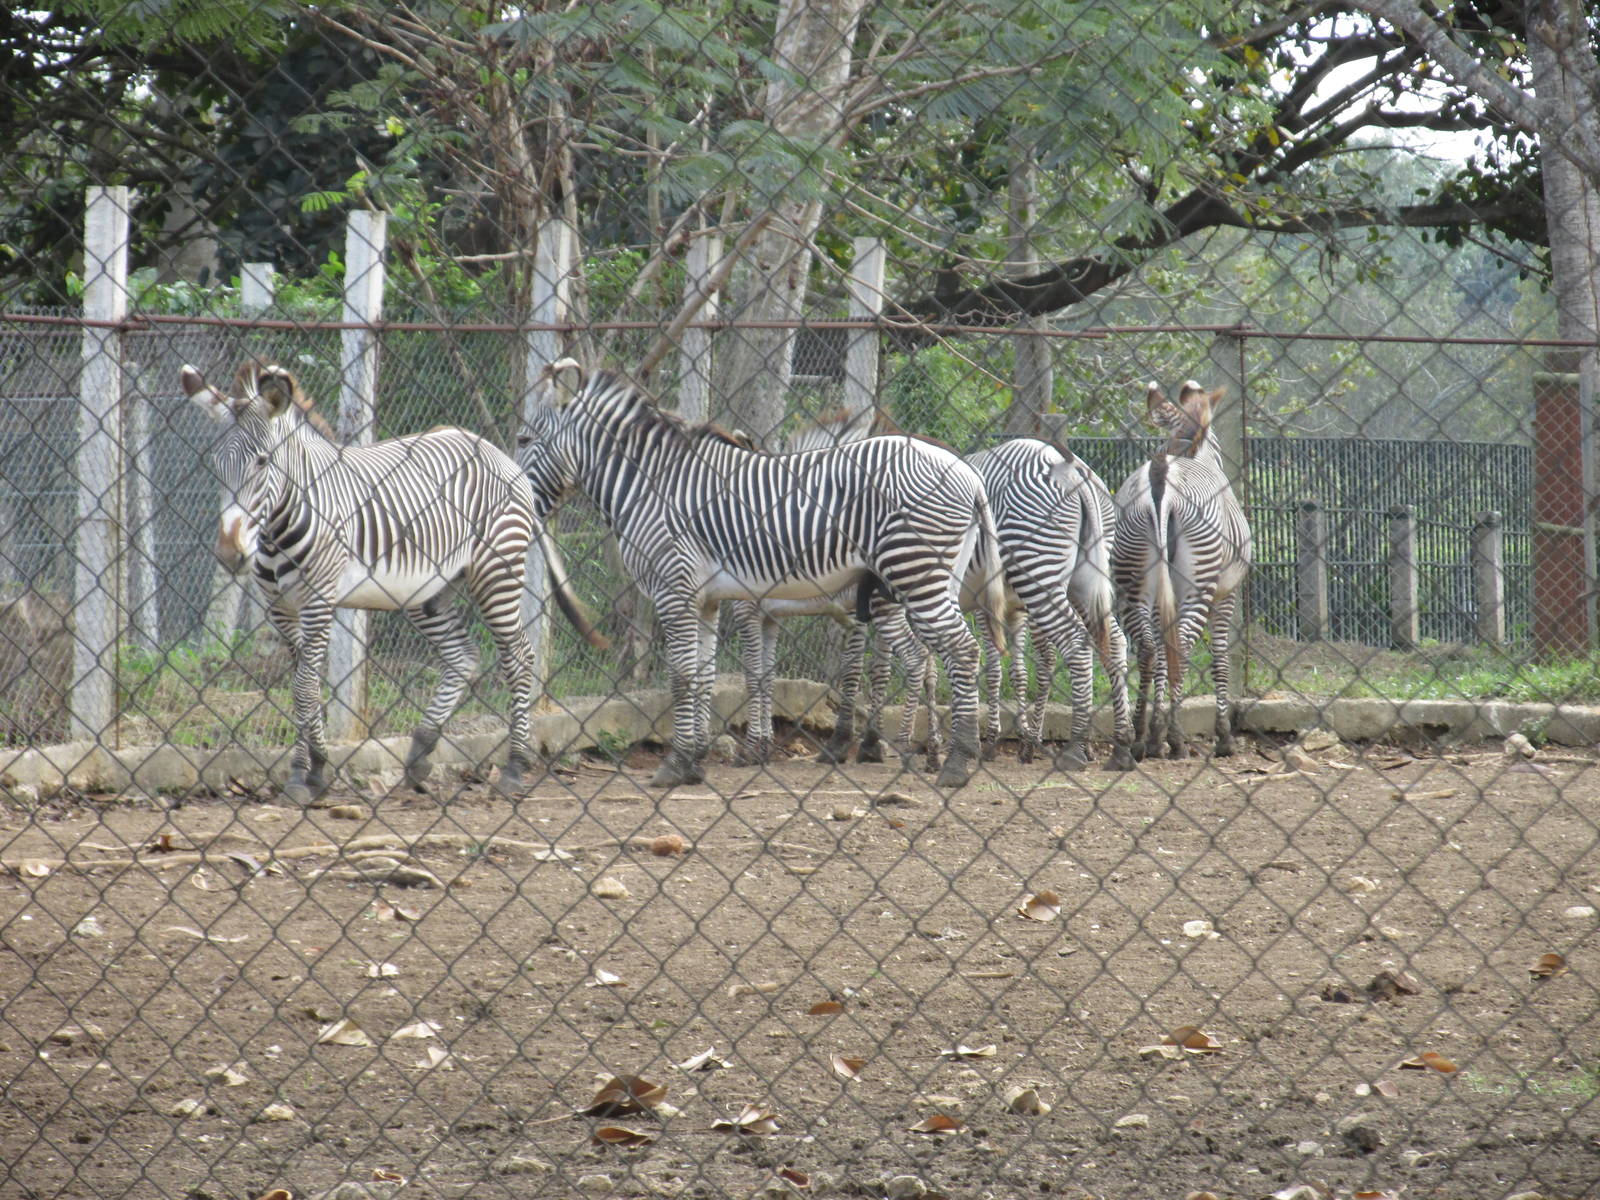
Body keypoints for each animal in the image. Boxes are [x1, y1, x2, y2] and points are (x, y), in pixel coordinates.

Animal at [183, 361, 604, 804]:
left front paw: (302, 773)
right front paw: (314, 769)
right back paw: (421, 751)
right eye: (217, 466)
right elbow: (305, 686)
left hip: (497, 569)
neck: (281, 524)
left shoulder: (318, 600)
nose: (230, 555)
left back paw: (514, 768)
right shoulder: (279, 607)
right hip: (427, 591)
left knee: (520, 656)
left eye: (263, 462)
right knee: (462, 655)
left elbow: (303, 689)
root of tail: (493, 450)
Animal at [515, 360, 1006, 790]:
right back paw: (937, 753)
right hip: (931, 578)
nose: (516, 501)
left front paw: (676, 765)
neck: (653, 486)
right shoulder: (708, 600)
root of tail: (969, 474)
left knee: (959, 652)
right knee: (939, 657)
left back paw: (955, 763)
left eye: (523, 438)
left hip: (913, 572)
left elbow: (685, 676)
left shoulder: (679, 591)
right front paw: (695, 763)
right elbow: (705, 677)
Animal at [1111, 380, 1253, 759]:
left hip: (1132, 578)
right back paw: (1173, 738)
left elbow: (1162, 652)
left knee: (1148, 646)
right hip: (1199, 582)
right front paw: (1223, 736)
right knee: (1185, 645)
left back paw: (1141, 737)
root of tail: (1162, 473)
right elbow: (1220, 656)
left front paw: (1153, 728)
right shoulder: (1226, 593)